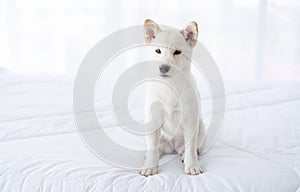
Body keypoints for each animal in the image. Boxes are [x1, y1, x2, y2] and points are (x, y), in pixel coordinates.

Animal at [140, 19, 206, 177]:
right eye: (158, 51)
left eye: (177, 52)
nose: (163, 68)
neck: (170, 86)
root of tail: (173, 148)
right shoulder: (153, 122)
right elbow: (152, 149)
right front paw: (150, 166)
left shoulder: (190, 123)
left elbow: (190, 150)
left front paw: (192, 166)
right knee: (156, 149)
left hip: (200, 126)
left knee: (191, 148)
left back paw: (186, 155)